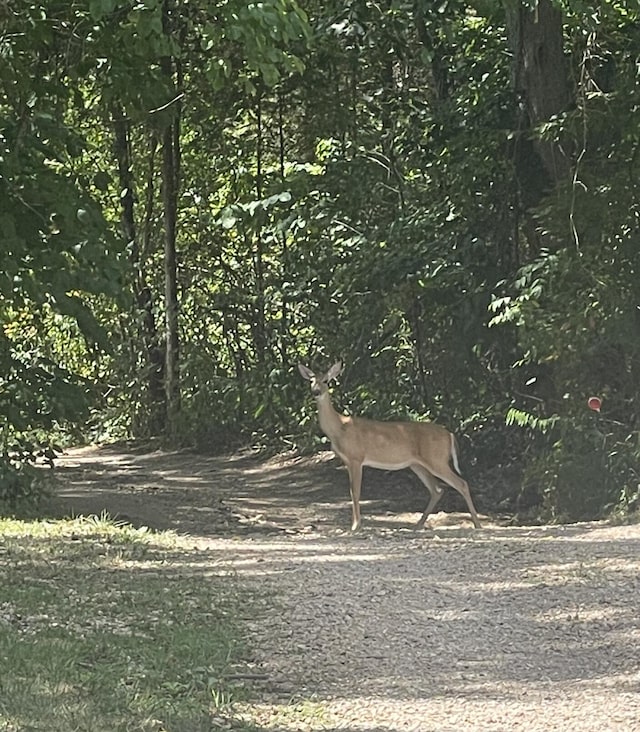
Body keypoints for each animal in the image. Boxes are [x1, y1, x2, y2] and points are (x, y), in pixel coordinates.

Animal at [298, 360, 480, 532]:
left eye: (326, 380)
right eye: (311, 381)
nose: (316, 392)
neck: (339, 428)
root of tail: (450, 434)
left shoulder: (356, 457)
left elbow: (355, 492)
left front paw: (356, 526)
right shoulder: (347, 461)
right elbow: (352, 492)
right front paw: (354, 525)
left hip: (437, 459)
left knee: (461, 483)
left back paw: (477, 524)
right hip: (418, 464)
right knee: (437, 489)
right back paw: (418, 525)